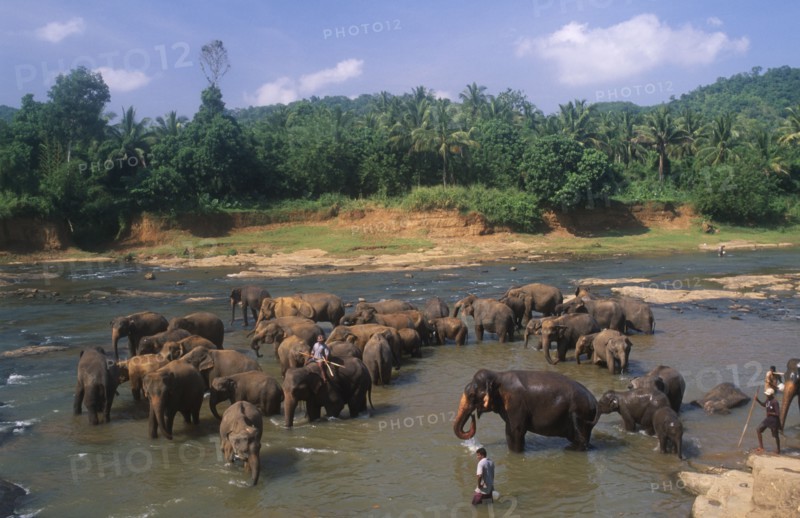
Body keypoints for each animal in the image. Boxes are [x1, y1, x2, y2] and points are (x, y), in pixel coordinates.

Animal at [453, 369, 598, 453]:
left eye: (472, 395)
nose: (472, 416)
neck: (498, 376)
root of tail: (595, 402)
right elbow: (509, 433)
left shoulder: (516, 404)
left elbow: (515, 433)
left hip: (580, 414)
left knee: (580, 441)